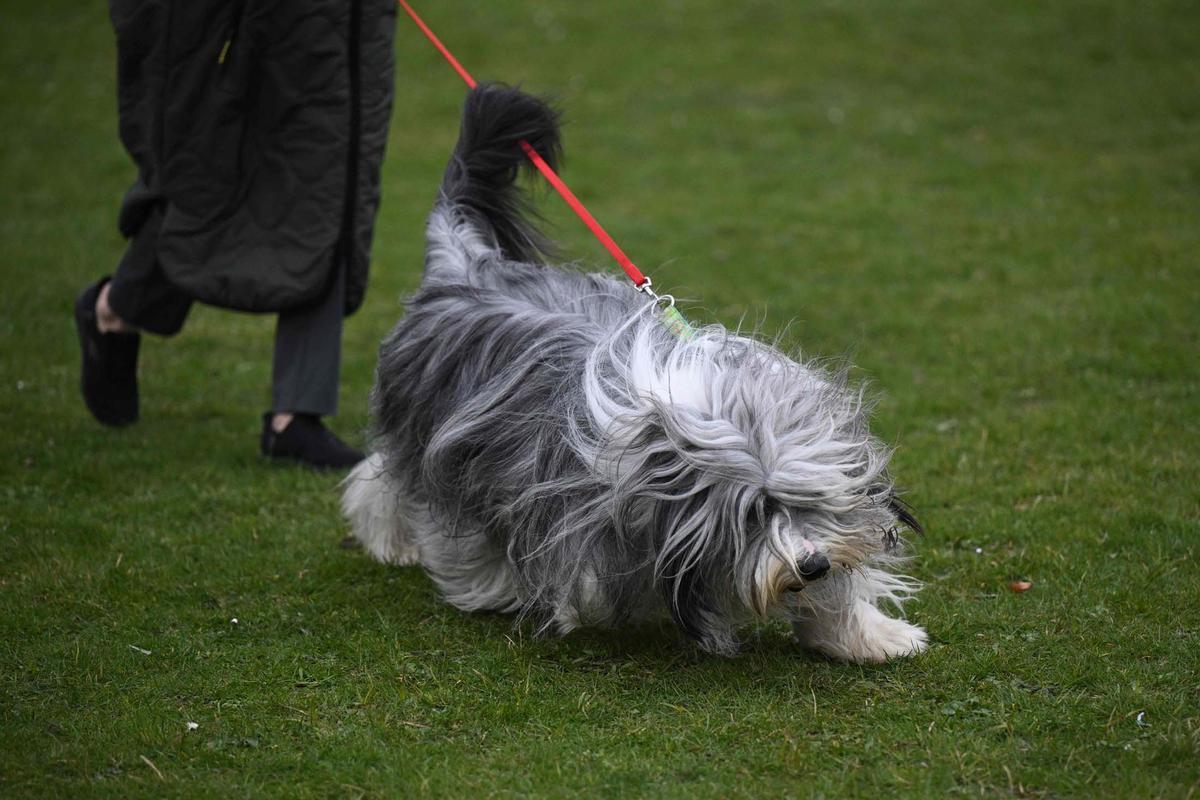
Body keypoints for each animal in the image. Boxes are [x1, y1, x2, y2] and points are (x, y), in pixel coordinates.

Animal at [345, 86, 926, 662]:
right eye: (754, 514)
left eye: (813, 501)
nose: (812, 564)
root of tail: (465, 267)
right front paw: (501, 589)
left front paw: (871, 634)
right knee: (388, 479)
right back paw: (397, 543)